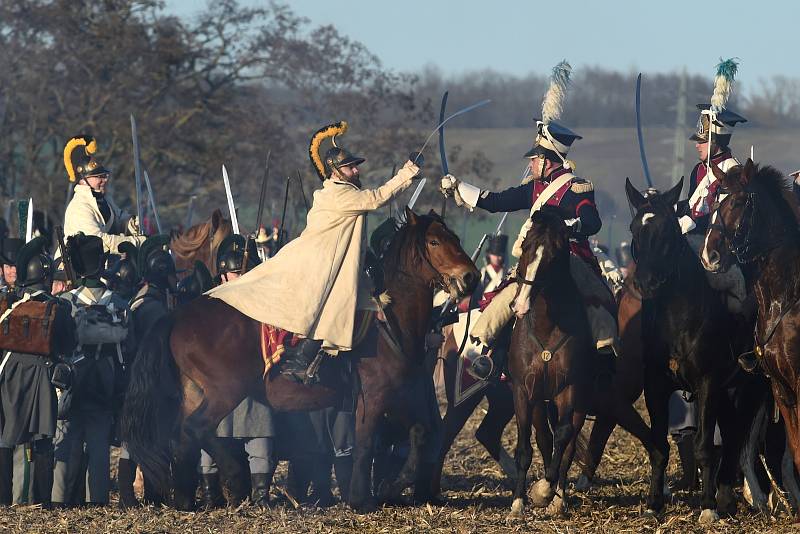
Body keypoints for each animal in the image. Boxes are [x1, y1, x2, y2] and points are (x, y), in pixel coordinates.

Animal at [122, 209, 478, 516]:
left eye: (455, 238)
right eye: (434, 242)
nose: (471, 277)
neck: (388, 319)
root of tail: (178, 316)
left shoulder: (399, 397)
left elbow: (420, 434)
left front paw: (391, 487)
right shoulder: (373, 400)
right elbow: (366, 446)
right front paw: (361, 500)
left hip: (195, 392)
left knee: (181, 436)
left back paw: (185, 499)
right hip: (226, 391)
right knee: (197, 428)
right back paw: (235, 479)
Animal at [506, 206, 592, 520]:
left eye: (554, 256)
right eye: (526, 247)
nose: (519, 306)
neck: (546, 326)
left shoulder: (571, 389)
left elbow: (564, 438)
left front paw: (545, 491)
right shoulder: (522, 391)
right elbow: (525, 448)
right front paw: (518, 502)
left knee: (566, 445)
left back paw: (558, 497)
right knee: (544, 438)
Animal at [624, 178, 764, 524]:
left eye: (667, 230)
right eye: (635, 228)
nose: (645, 283)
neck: (676, 318)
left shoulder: (707, 384)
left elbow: (703, 445)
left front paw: (707, 506)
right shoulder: (656, 386)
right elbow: (659, 446)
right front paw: (653, 504)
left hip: (746, 387)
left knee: (734, 437)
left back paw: (723, 499)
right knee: (731, 434)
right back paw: (726, 496)